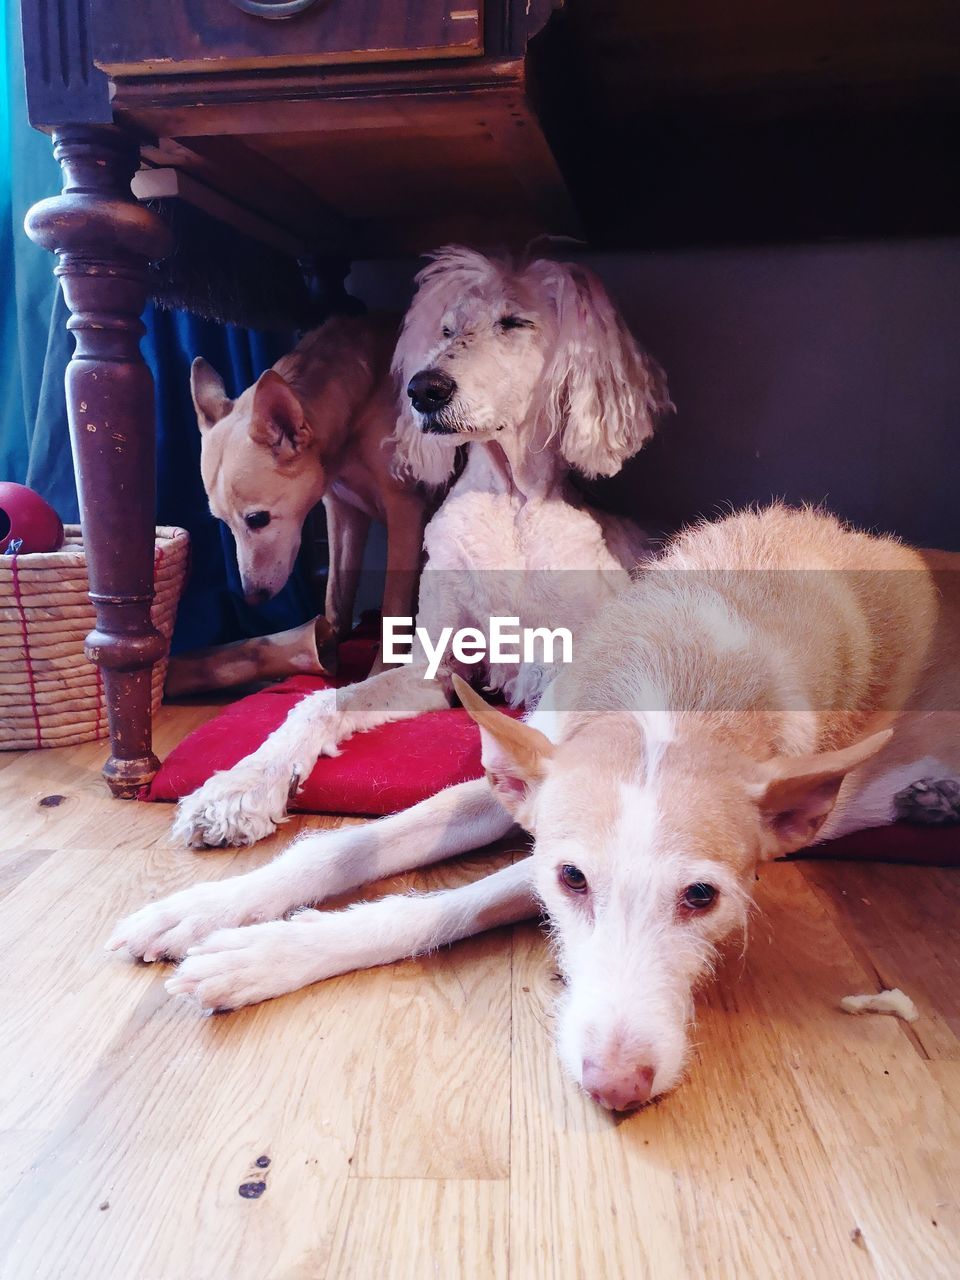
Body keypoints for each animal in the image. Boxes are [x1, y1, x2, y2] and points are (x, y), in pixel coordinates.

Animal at [171, 248, 670, 849]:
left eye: (514, 322)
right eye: (447, 330)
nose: (423, 389)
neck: (511, 502)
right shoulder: (430, 670)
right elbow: (319, 702)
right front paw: (239, 789)